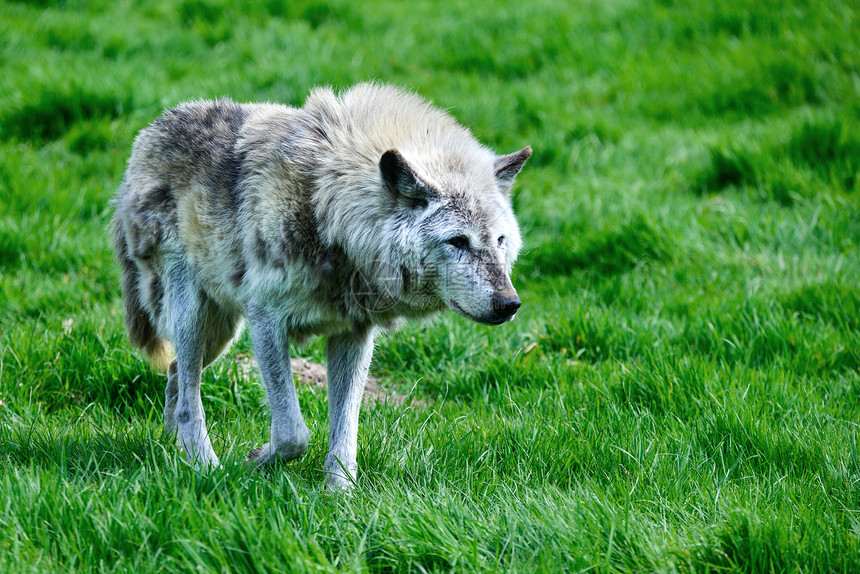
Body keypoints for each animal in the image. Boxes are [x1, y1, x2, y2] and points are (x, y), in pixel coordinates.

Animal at [112, 83, 532, 490]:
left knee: (175, 375)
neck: (327, 210)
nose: (509, 304)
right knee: (188, 397)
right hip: (195, 318)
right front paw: (249, 464)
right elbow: (293, 434)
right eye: (458, 241)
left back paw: (175, 452)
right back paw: (207, 468)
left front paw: (339, 495)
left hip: (219, 335)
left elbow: (345, 430)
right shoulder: (266, 320)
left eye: (499, 240)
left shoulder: (354, 332)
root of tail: (151, 131)